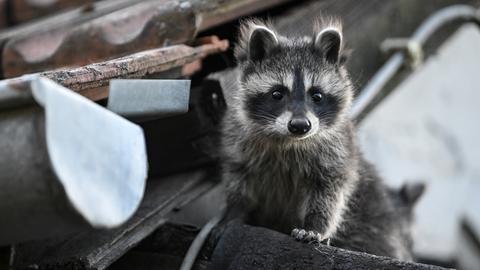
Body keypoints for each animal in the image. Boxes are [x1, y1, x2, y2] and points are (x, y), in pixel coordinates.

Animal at [219, 18, 422, 260]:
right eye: (277, 94)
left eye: (317, 96)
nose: (300, 126)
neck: (290, 141)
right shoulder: (239, 144)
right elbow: (239, 181)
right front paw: (235, 212)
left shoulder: (339, 151)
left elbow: (329, 192)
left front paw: (315, 226)